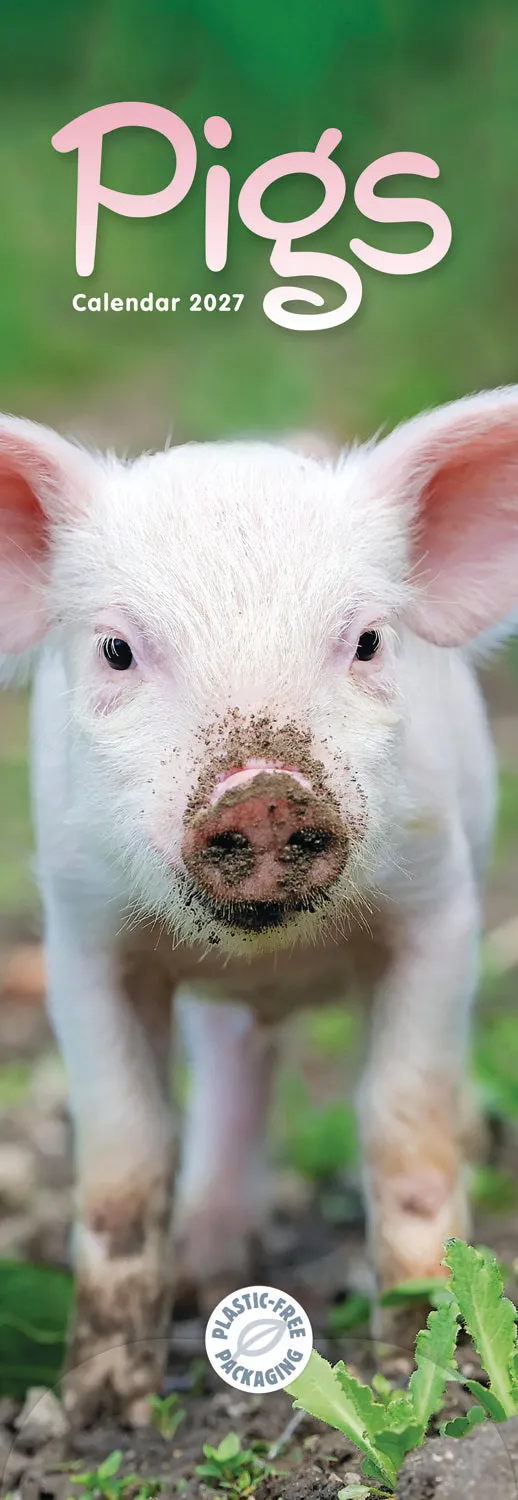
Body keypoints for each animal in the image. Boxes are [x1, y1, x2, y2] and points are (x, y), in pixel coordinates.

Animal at [1, 389, 517, 1425]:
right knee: (232, 1070)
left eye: (367, 640)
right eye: (116, 649)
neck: (275, 952)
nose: (265, 794)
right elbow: (125, 1153)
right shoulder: (82, 932)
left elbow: (402, 1125)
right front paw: (102, 1403)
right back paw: (208, 1271)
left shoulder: (440, 907)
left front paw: (421, 1359)